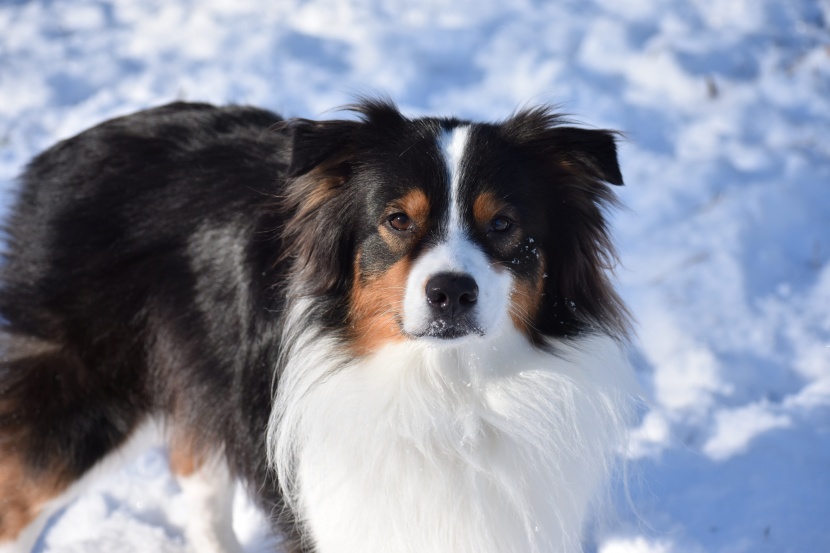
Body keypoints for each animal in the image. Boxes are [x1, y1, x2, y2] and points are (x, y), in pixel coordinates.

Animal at [0, 100, 640, 552]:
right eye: (397, 220)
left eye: (503, 224)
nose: (451, 293)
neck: (445, 388)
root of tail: (61, 152)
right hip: (87, 392)